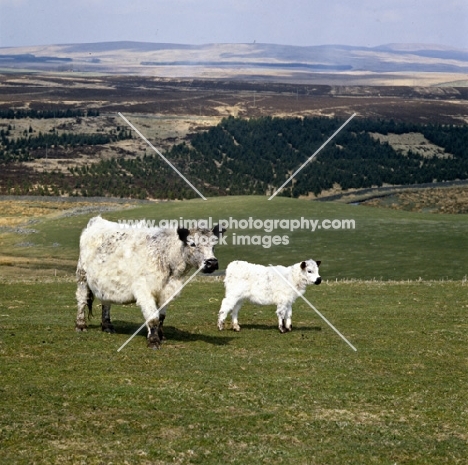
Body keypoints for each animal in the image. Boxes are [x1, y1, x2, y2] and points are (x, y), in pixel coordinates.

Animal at [75, 218, 225, 348]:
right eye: (192, 243)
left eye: (214, 245)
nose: (212, 263)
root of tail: (97, 221)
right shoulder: (145, 290)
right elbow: (153, 317)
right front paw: (153, 341)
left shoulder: (166, 292)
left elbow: (161, 317)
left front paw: (161, 335)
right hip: (82, 276)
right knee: (82, 299)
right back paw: (80, 325)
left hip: (105, 283)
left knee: (106, 303)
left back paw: (107, 326)